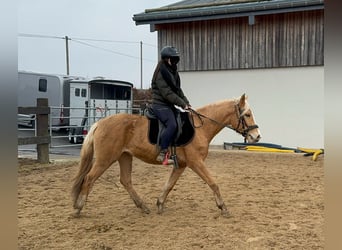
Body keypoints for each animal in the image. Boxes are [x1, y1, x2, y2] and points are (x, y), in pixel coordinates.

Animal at [71, 94, 260, 217]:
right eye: (247, 114)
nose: (256, 136)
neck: (200, 128)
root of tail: (100, 123)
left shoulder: (182, 165)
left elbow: (169, 185)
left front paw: (160, 204)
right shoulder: (196, 162)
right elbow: (213, 183)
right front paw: (223, 207)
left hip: (124, 156)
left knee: (125, 180)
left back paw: (143, 206)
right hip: (105, 159)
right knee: (89, 178)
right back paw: (78, 207)